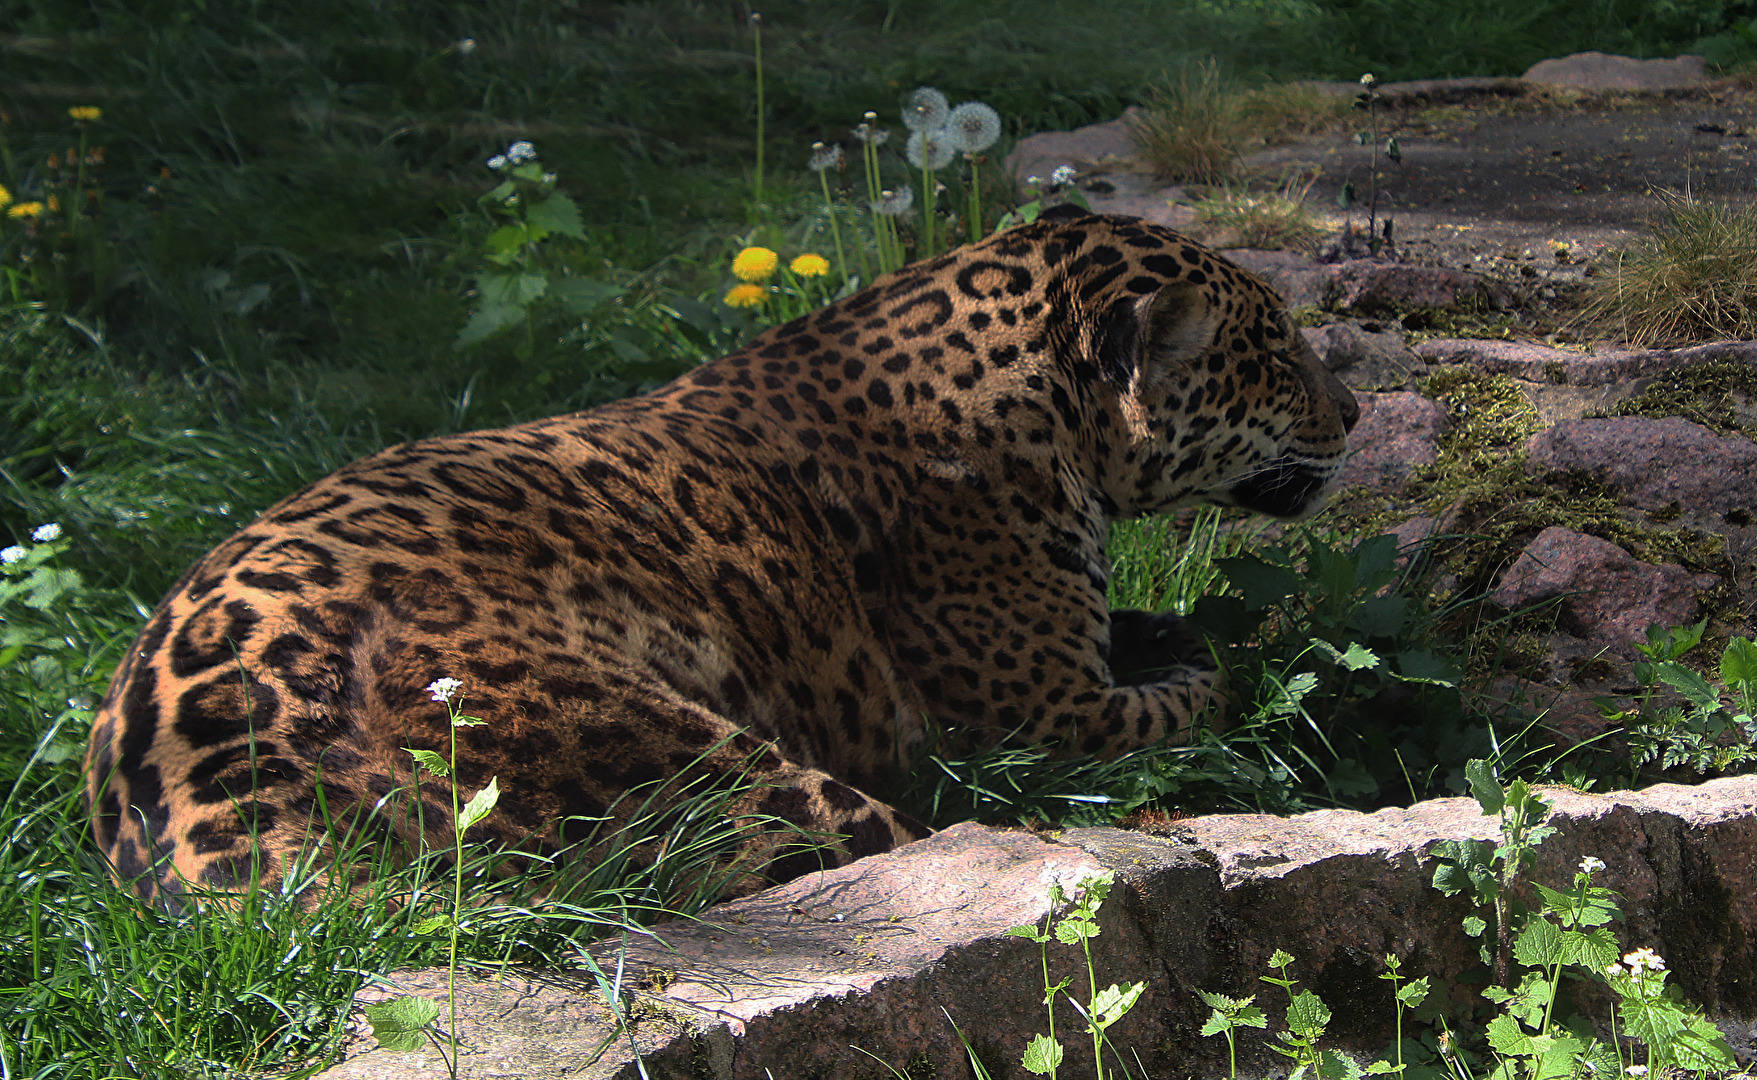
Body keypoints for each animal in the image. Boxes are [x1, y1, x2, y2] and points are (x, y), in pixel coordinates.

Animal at [84, 209, 1358, 907]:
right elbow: (1198, 691)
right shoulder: (1042, 713)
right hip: (722, 772)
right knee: (919, 841)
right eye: (1272, 354)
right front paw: (1222, 672)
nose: (1350, 412)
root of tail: (206, 811)